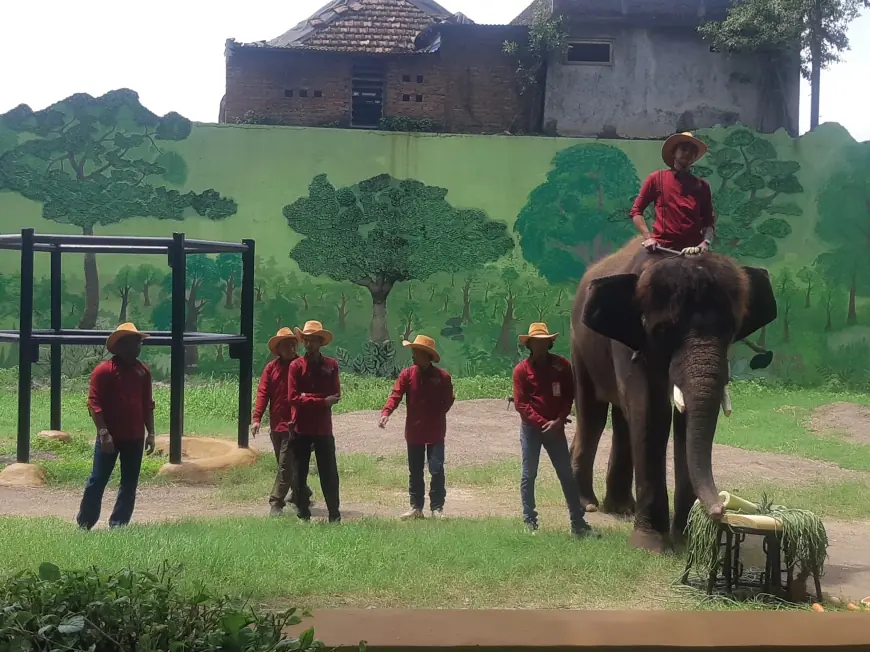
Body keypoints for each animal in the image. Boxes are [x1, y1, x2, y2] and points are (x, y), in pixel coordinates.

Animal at [572, 237, 776, 552]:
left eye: (731, 330)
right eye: (663, 330)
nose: (721, 508)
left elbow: (682, 418)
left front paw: (687, 539)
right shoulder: (631, 340)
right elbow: (651, 410)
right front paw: (651, 546)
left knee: (622, 418)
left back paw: (622, 509)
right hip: (579, 346)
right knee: (592, 413)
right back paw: (589, 505)